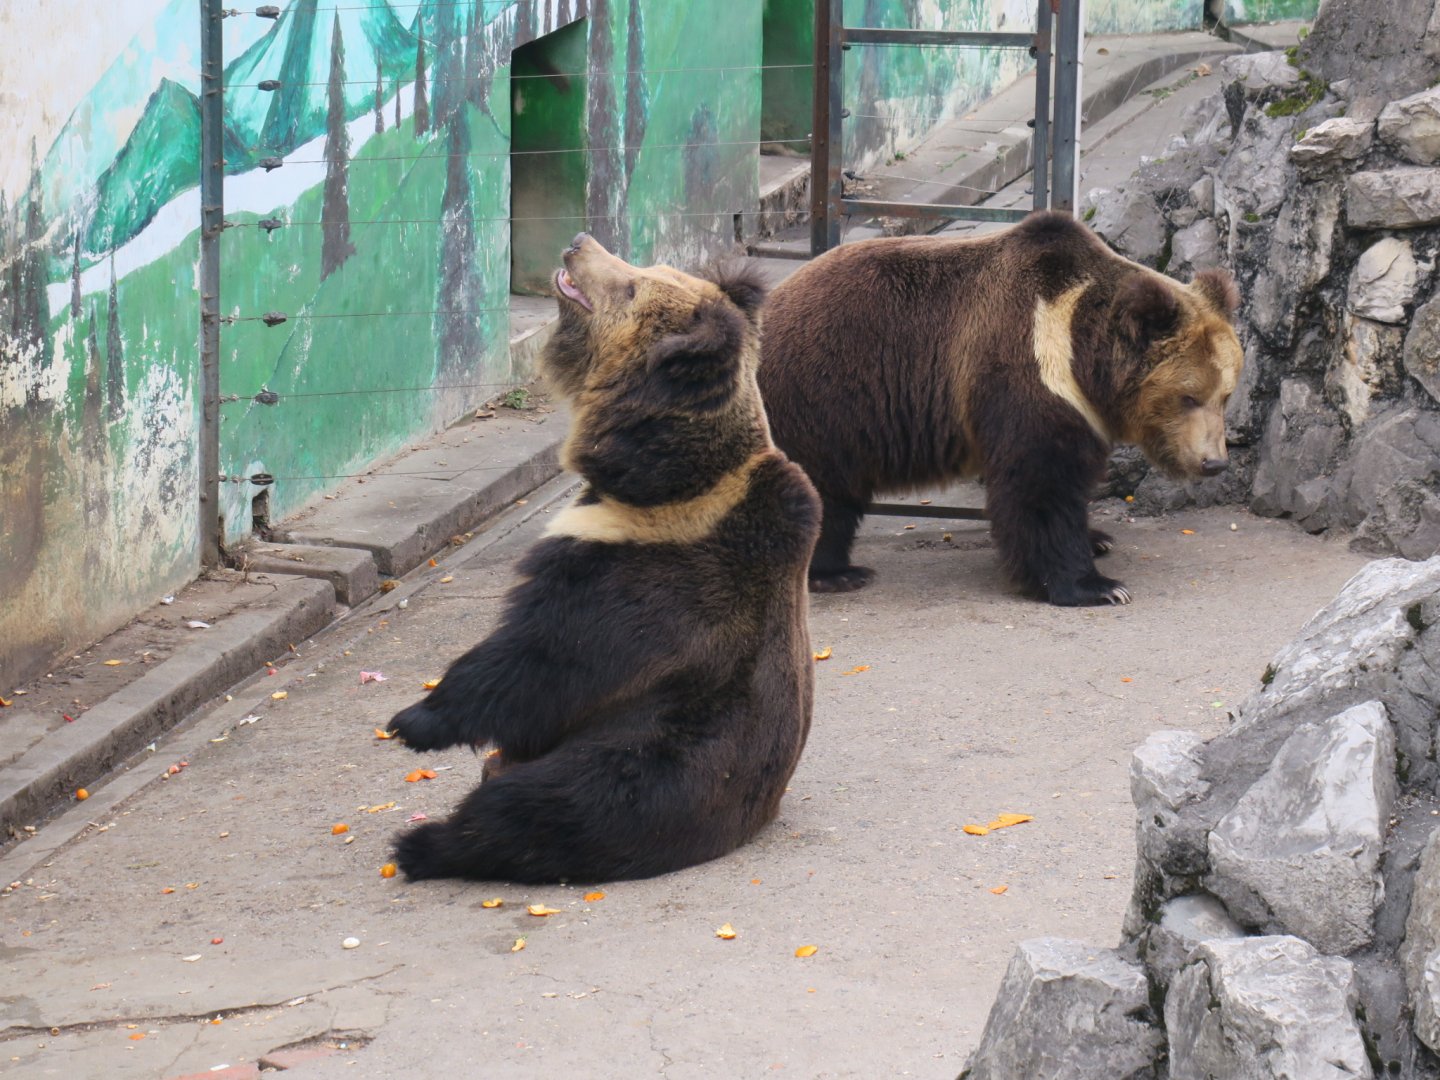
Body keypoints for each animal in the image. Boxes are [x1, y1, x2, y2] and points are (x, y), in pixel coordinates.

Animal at [386, 234, 822, 884]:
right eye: (645, 267)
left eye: (631, 284)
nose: (578, 243)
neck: (660, 484)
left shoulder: (640, 572)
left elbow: (543, 658)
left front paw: (412, 720)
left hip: (645, 766)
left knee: (537, 808)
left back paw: (424, 842)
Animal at [756, 210, 1243, 606]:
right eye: (1188, 396)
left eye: (1225, 395)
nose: (1214, 462)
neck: (1078, 351)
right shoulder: (1026, 370)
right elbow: (1039, 486)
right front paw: (1095, 585)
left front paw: (1097, 538)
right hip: (818, 398)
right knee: (818, 492)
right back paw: (833, 573)